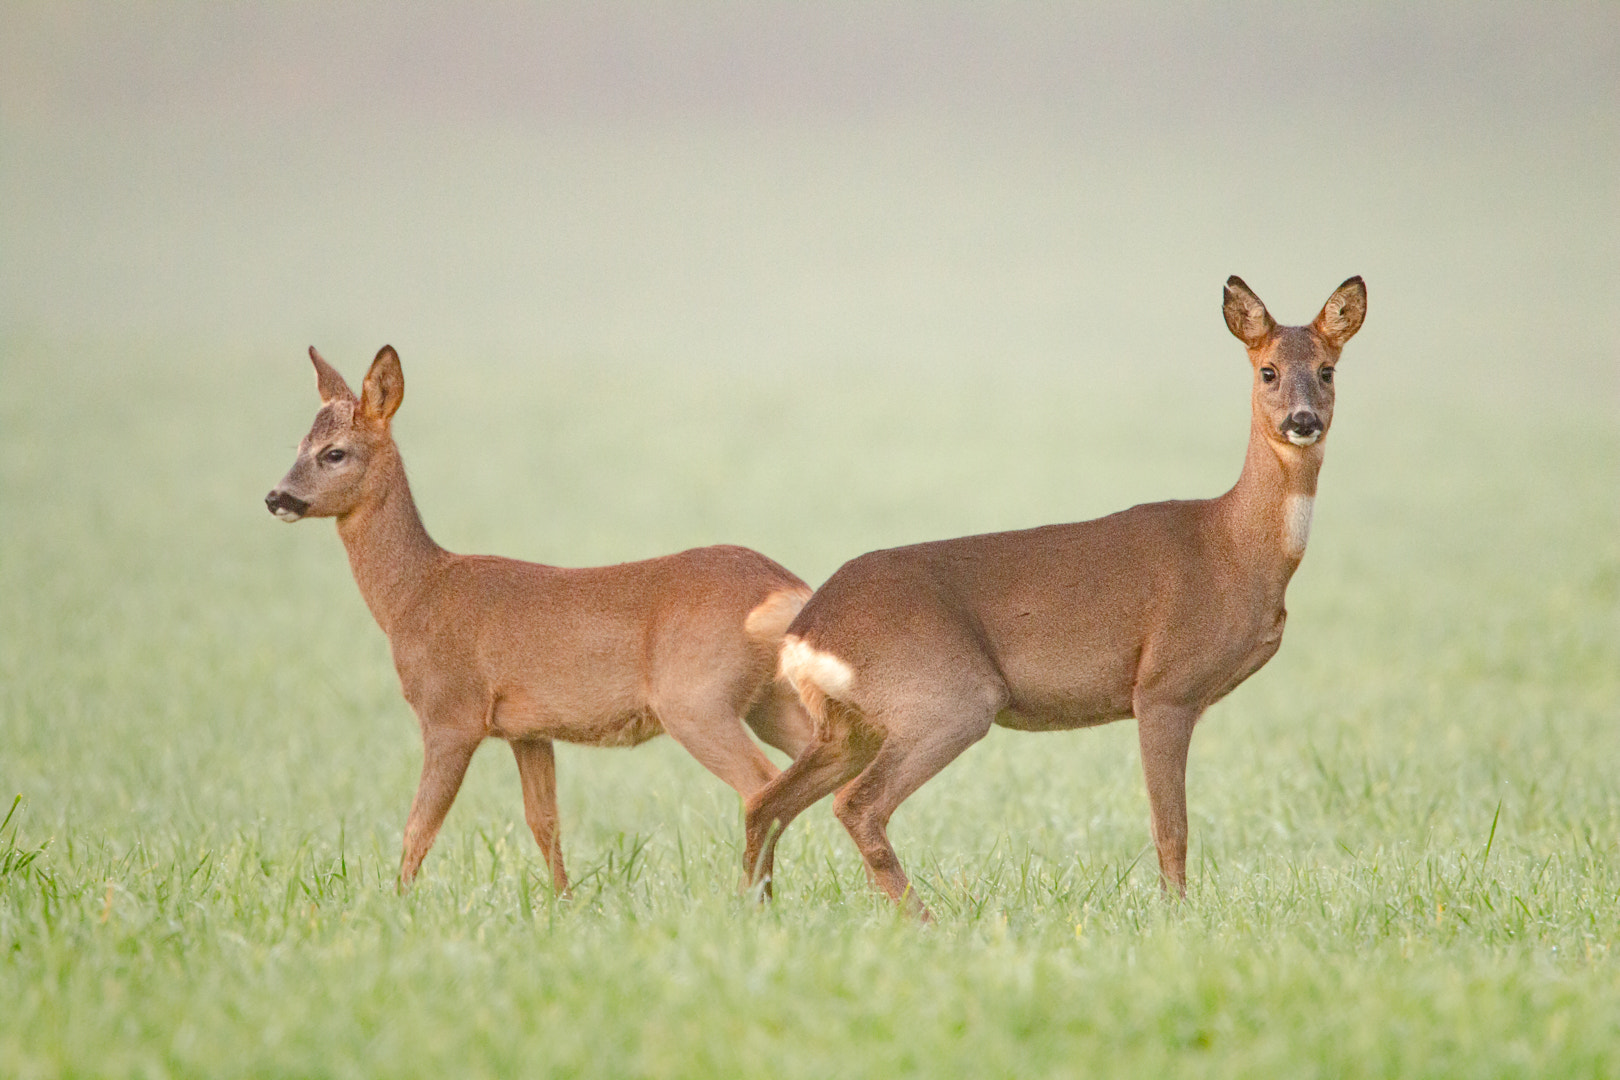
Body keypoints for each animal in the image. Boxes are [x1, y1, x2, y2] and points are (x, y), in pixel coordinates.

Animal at [265, 345, 816, 893]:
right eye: (299, 443)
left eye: (334, 452)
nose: (275, 498)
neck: (415, 595)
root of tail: (787, 586)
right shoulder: (528, 730)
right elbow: (543, 821)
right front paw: (564, 901)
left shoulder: (450, 711)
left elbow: (419, 827)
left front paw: (395, 902)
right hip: (771, 700)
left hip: (697, 699)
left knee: (763, 785)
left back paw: (751, 895)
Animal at [743, 276, 1367, 918]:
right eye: (1268, 370)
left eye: (1327, 370)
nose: (1302, 420)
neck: (1234, 548)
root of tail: (804, 633)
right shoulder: (1163, 686)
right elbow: (1171, 828)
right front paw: (1177, 917)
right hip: (946, 696)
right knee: (854, 804)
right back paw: (927, 921)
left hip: (849, 725)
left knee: (765, 802)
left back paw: (758, 910)